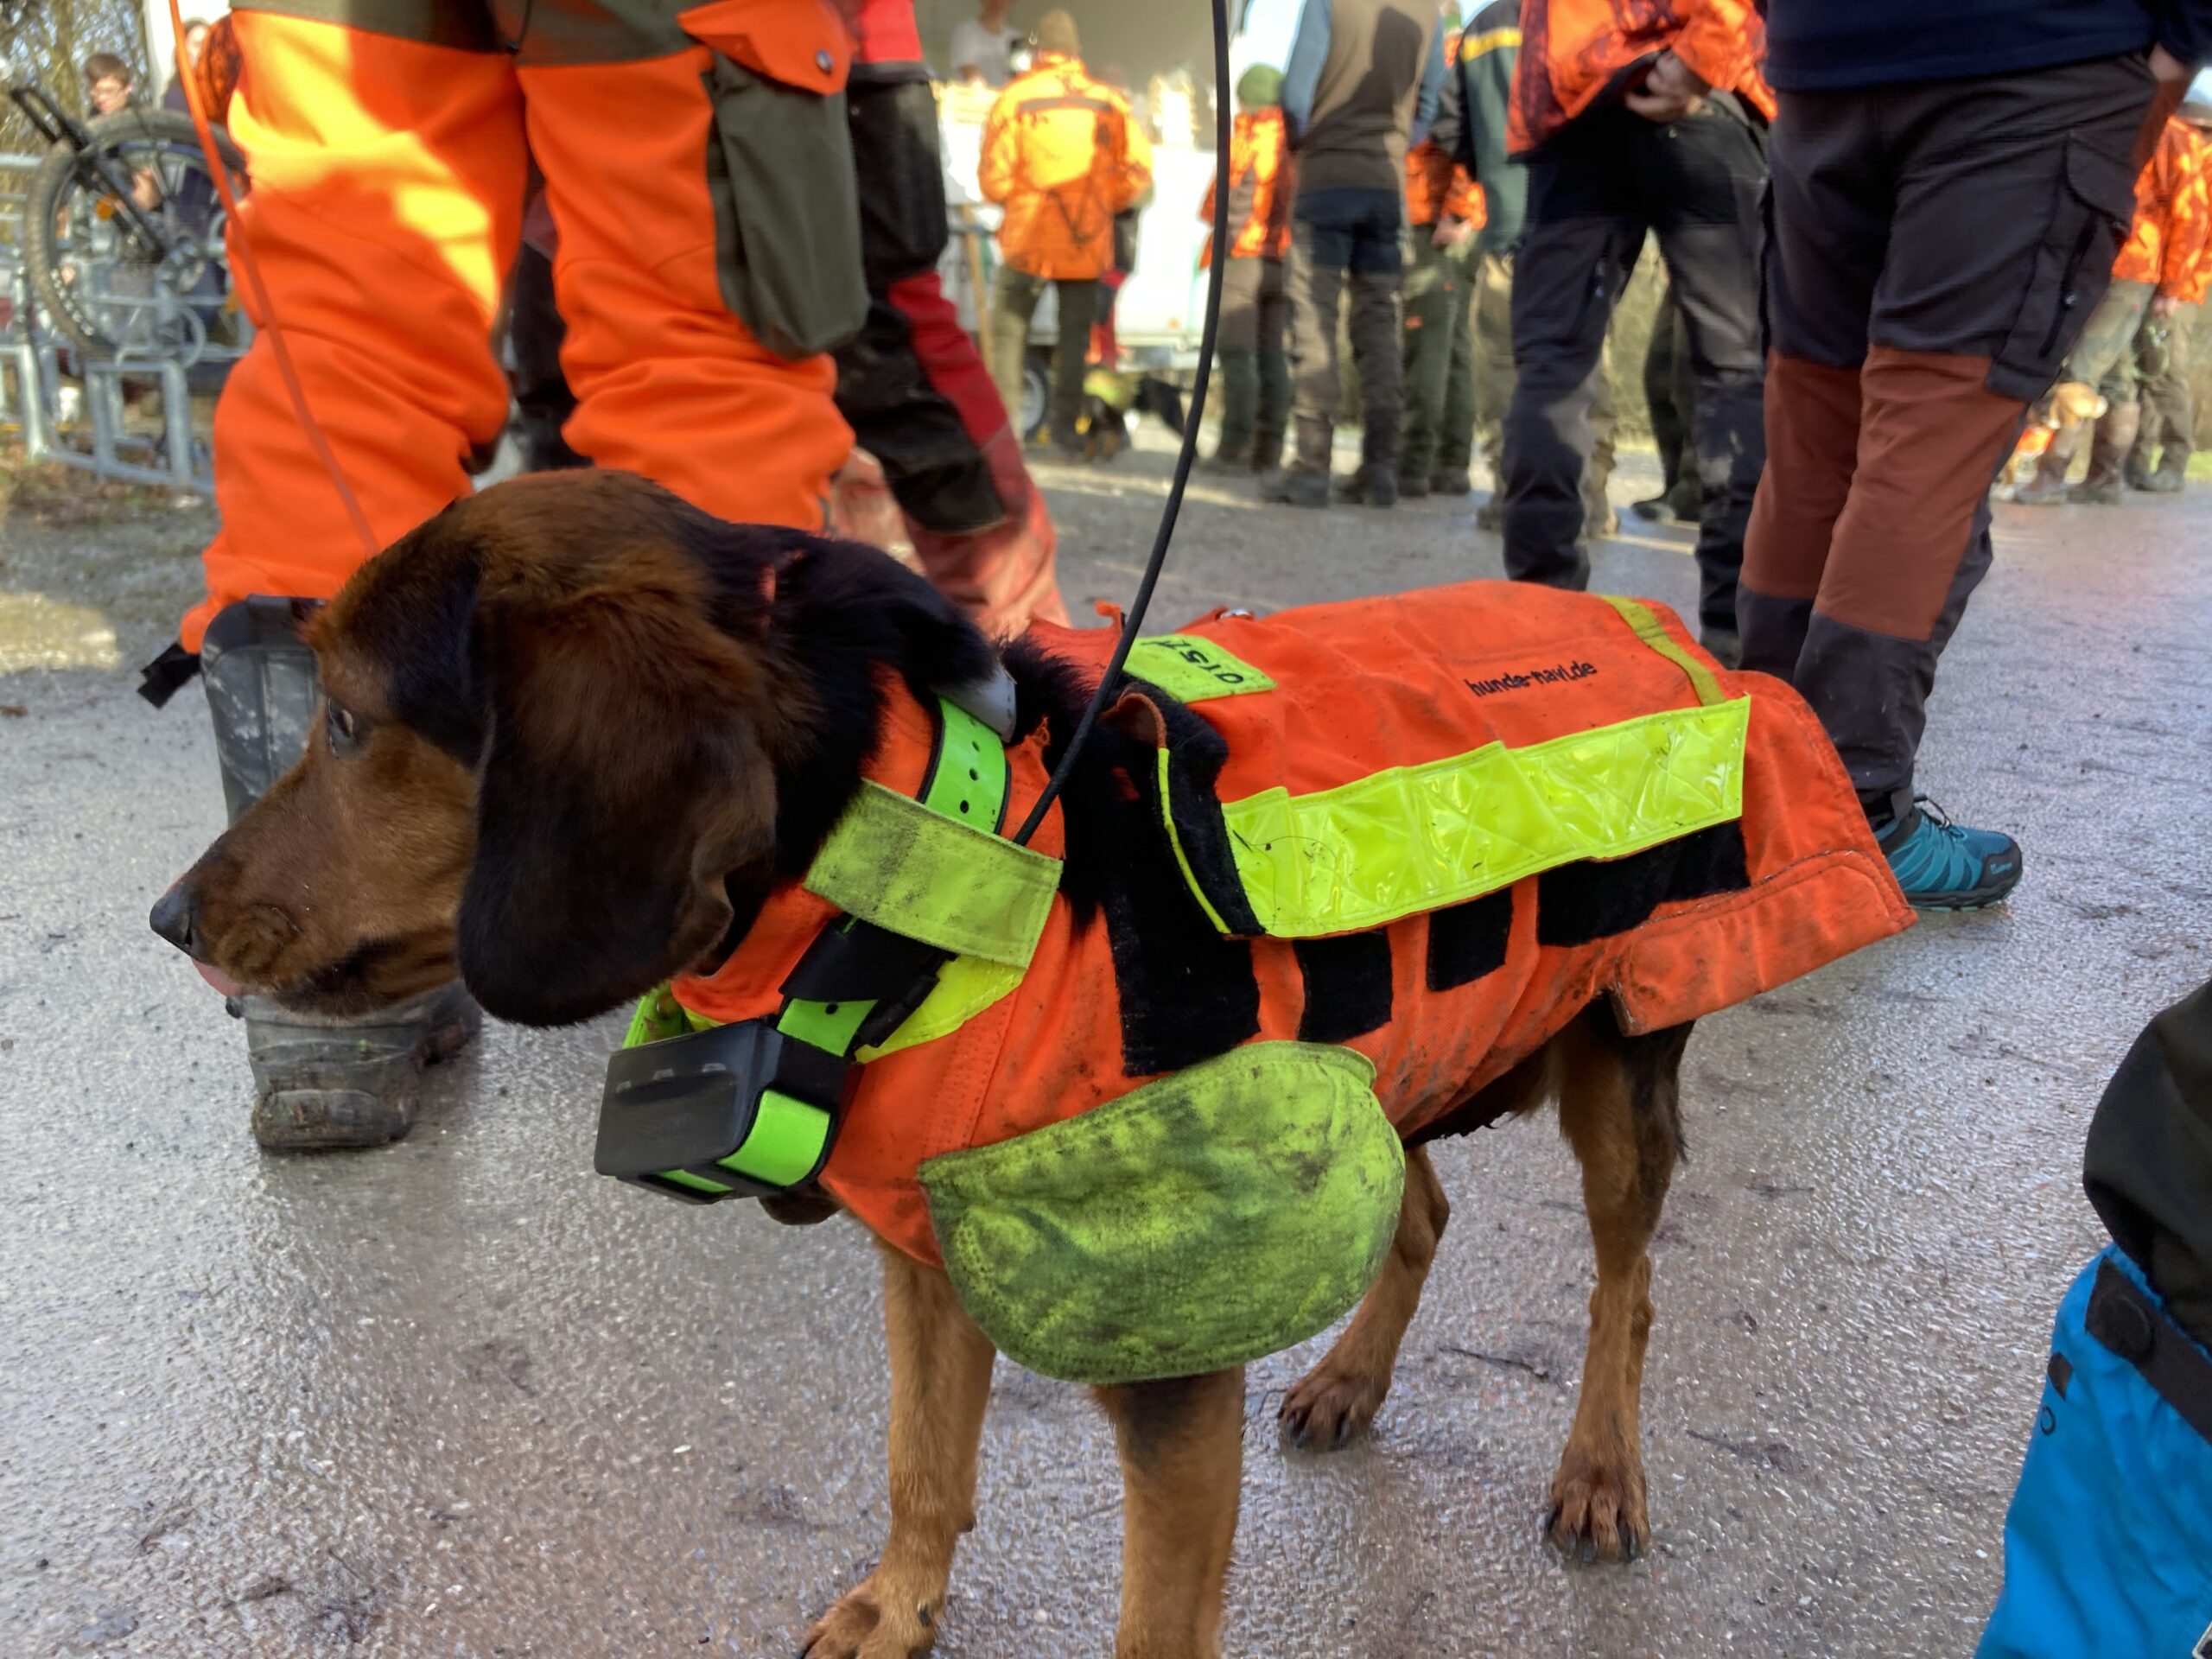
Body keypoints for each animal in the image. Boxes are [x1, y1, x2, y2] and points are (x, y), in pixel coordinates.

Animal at [152, 471, 1908, 1658]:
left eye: (351, 723)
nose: (170, 920)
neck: (923, 858)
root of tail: (1643, 615)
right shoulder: (928, 1257)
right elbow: (923, 1468)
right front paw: (897, 1607)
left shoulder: (1168, 1370)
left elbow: (1151, 1624)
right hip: (1374, 1057)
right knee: (1420, 1214)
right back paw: (1349, 1377)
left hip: (1620, 1058)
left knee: (1627, 1282)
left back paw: (1601, 1466)